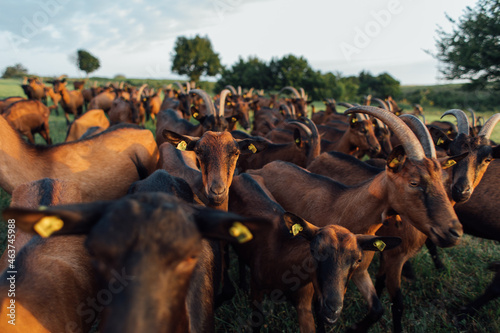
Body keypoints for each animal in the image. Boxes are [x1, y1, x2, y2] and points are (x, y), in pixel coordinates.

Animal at [229, 172, 400, 330]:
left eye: (358, 260)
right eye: (314, 250)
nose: (333, 309)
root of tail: (242, 174)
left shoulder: (304, 304)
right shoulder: (257, 289)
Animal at [248, 105, 462, 330]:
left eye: (442, 179)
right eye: (414, 182)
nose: (454, 231)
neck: (348, 208)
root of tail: (266, 166)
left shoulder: (360, 271)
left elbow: (377, 309)